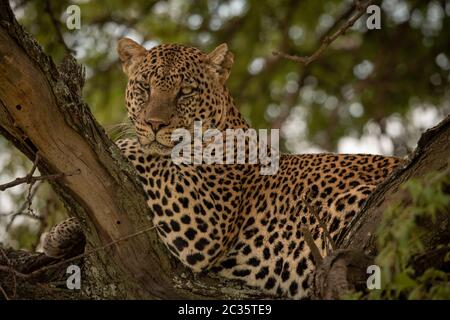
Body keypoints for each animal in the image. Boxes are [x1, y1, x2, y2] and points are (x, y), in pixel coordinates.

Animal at [44, 38, 402, 300]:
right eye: (145, 87)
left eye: (185, 91)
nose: (155, 124)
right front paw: (60, 234)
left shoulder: (205, 219)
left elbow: (147, 153)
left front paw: (124, 144)